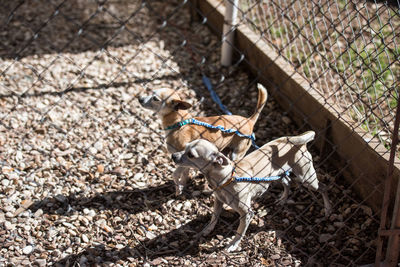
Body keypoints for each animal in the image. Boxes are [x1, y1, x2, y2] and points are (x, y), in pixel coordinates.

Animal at [139, 85, 268, 195]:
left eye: (155, 98)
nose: (140, 99)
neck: (179, 124)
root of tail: (249, 120)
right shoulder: (184, 161)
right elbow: (183, 174)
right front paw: (182, 186)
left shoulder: (183, 160)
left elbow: (175, 174)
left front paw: (178, 188)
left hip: (237, 154)